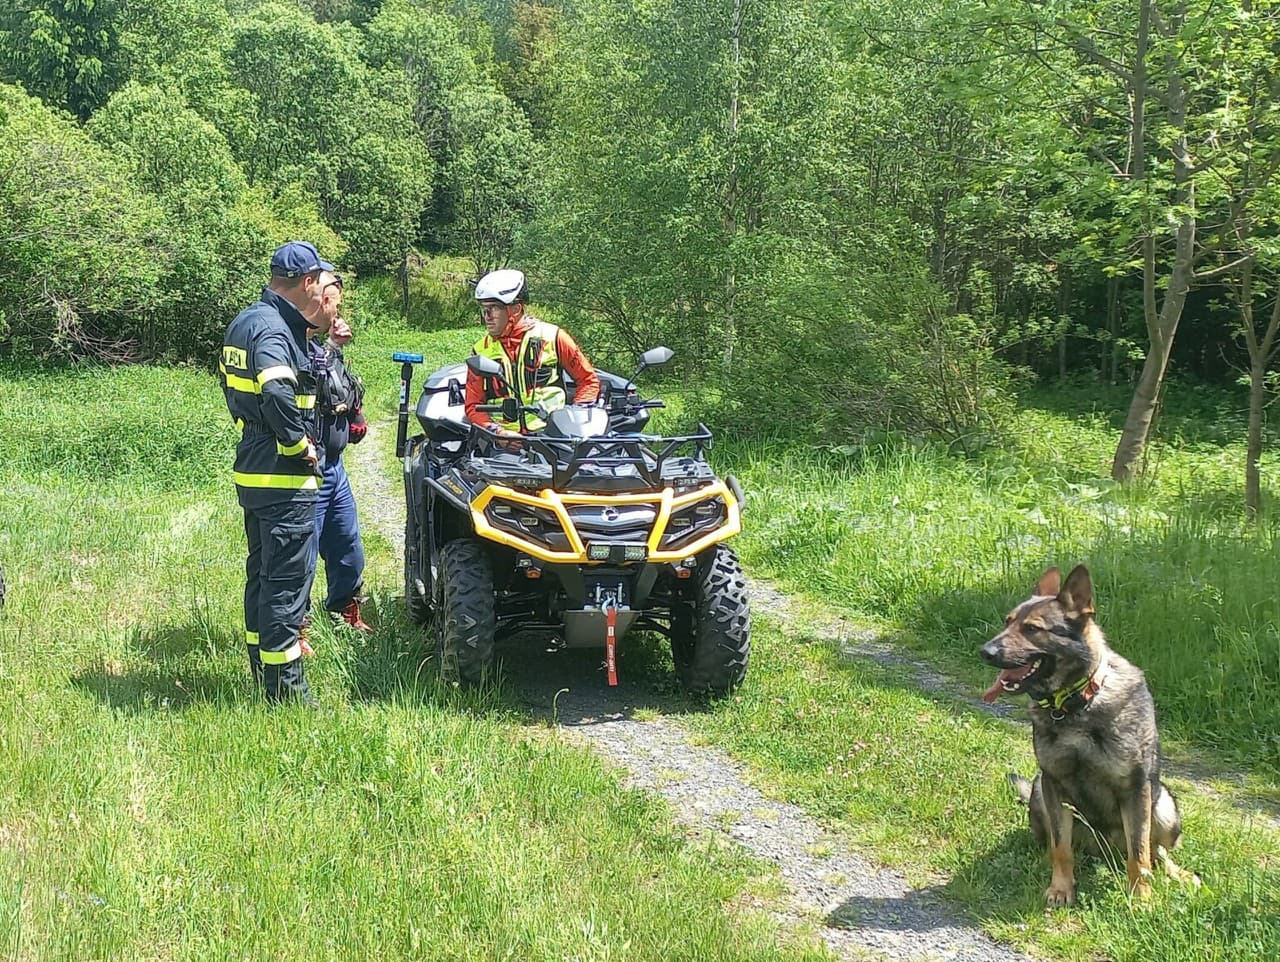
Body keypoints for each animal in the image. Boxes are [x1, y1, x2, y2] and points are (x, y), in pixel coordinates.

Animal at [972, 562, 1192, 900]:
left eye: (1032, 629)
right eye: (1007, 623)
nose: (985, 651)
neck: (1075, 705)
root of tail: (1104, 852)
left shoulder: (1135, 789)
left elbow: (1139, 852)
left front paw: (1141, 897)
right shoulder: (1053, 784)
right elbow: (1060, 848)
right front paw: (1061, 888)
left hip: (1163, 803)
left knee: (1157, 852)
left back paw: (1176, 873)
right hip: (1039, 791)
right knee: (1055, 843)